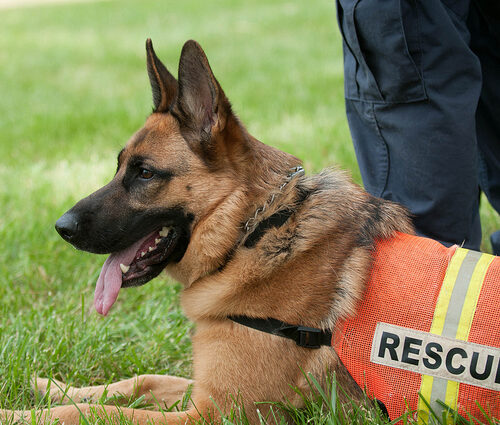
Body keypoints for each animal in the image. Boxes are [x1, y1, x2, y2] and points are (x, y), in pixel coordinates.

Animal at [0, 38, 414, 422]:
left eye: (145, 173)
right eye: (118, 167)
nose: (61, 227)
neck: (251, 231)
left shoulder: (214, 414)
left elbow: (101, 412)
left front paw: (19, 414)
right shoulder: (201, 392)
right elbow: (140, 381)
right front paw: (53, 387)